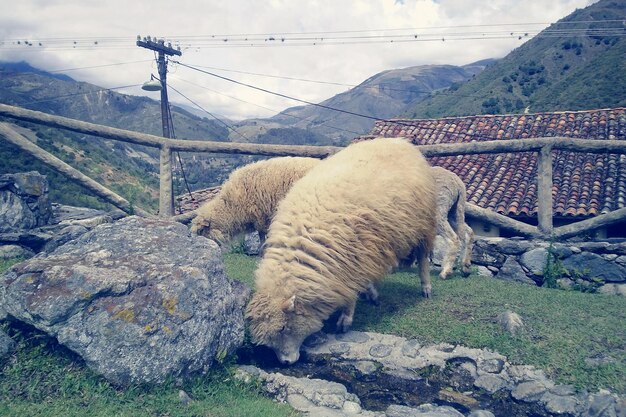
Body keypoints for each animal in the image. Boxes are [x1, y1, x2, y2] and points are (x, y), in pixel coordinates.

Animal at [244, 137, 434, 364]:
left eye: (283, 328)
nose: (286, 363)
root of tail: (401, 141)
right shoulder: (354, 256)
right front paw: (370, 293)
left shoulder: (352, 257)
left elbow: (350, 290)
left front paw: (346, 319)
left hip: (423, 224)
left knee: (423, 258)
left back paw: (426, 287)